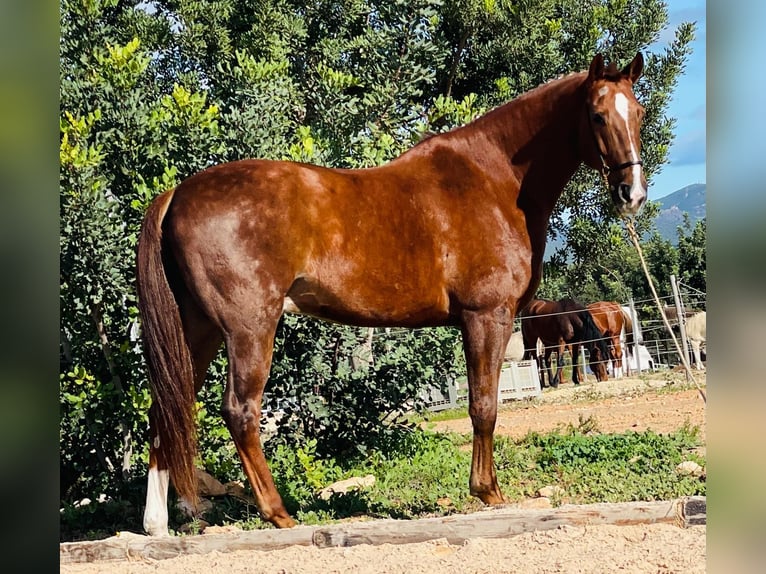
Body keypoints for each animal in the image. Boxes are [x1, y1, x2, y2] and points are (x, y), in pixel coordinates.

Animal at [136, 53, 648, 536]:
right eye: (597, 115)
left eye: (638, 113)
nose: (633, 193)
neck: (494, 178)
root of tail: (177, 194)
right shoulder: (487, 316)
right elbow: (484, 405)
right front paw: (488, 492)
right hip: (249, 327)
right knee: (239, 411)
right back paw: (277, 513)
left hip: (198, 331)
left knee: (167, 407)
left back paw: (158, 523)